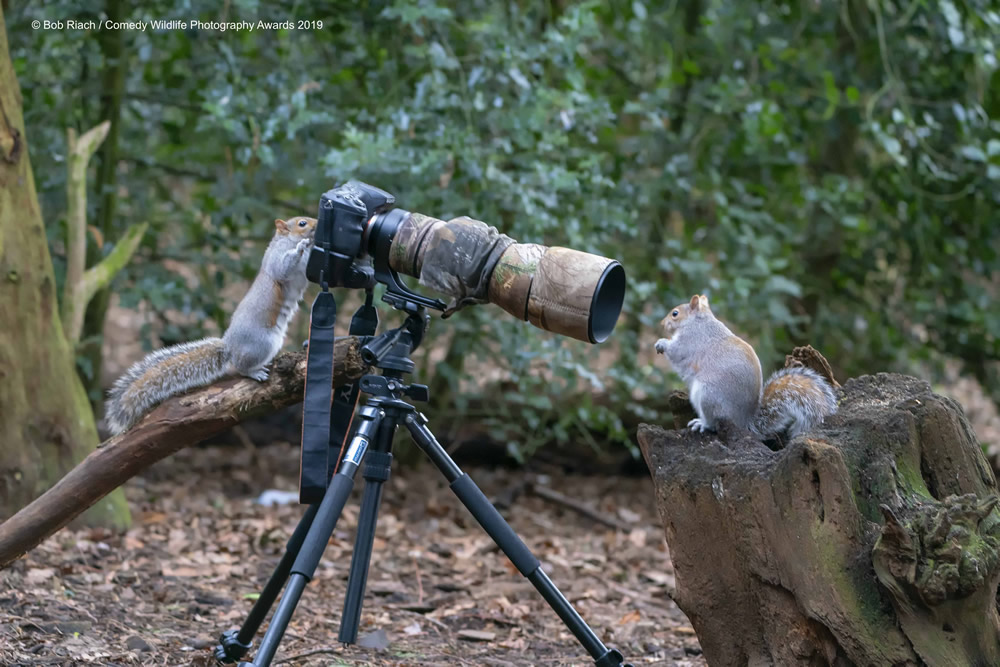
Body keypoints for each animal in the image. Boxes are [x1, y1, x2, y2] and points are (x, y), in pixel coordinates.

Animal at [105, 217, 316, 436]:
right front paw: (302, 246)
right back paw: (254, 372)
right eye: (302, 223)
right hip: (264, 343)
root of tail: (229, 345)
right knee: (241, 366)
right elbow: (284, 267)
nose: (316, 223)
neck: (286, 240)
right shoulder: (277, 259)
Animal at [656, 294, 836, 440]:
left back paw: (702, 423)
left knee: (713, 423)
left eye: (675, 313)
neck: (698, 320)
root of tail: (744, 422)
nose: (662, 323)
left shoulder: (689, 340)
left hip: (708, 396)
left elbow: (676, 351)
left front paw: (661, 343)